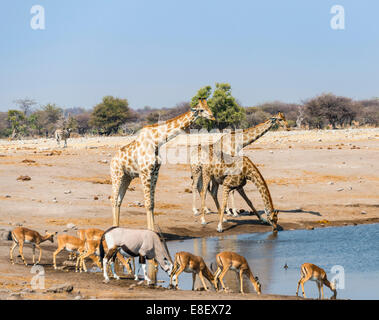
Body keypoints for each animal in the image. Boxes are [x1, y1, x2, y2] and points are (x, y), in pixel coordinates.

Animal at [111, 98, 215, 230]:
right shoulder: (145, 173)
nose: (212, 116)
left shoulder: (155, 173)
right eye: (201, 110)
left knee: (119, 200)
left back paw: (117, 227)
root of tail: (112, 160)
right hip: (117, 175)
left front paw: (153, 229)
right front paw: (150, 230)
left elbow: (152, 203)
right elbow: (147, 203)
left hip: (126, 177)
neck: (156, 141)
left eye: (208, 107)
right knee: (113, 199)